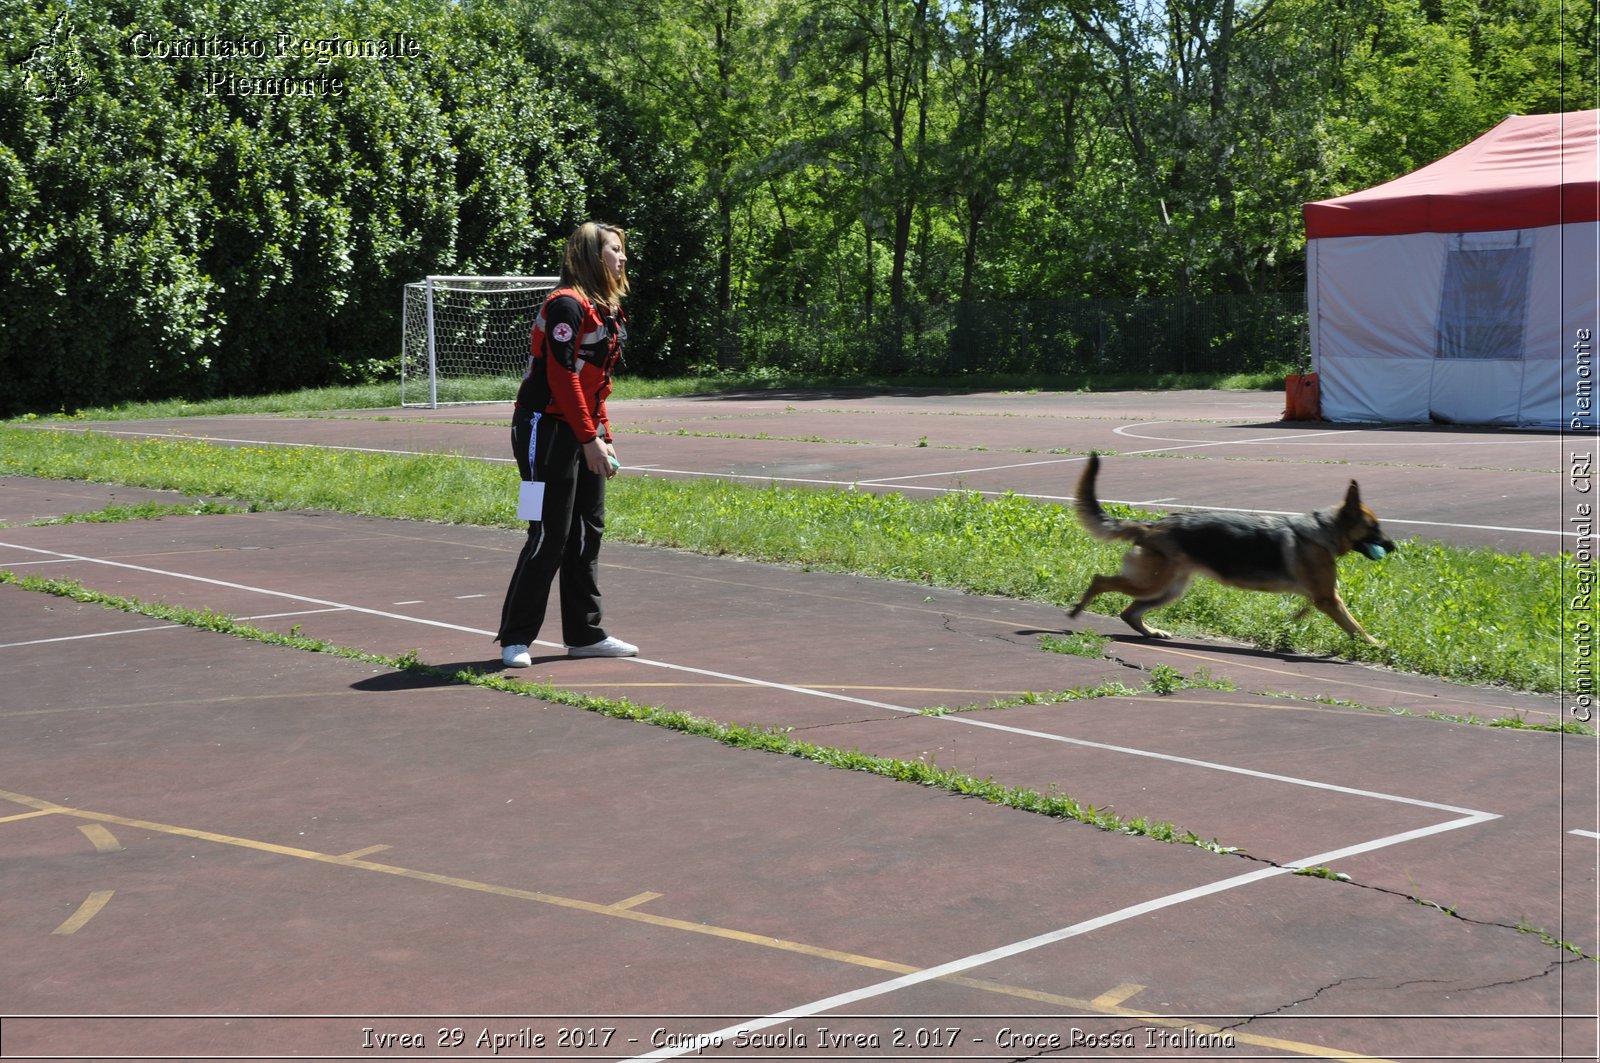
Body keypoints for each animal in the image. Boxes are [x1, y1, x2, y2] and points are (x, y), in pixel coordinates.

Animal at [1068, 451, 1395, 643]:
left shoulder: (1321, 598)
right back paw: (1077, 610)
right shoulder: (1329, 599)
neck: (1326, 529)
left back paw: (1150, 631)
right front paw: (1375, 646)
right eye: (1374, 528)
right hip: (1153, 583)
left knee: (1129, 612)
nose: (1392, 547)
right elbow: (1356, 627)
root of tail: (1150, 526)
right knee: (1100, 580)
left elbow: (1319, 615)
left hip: (1168, 590)